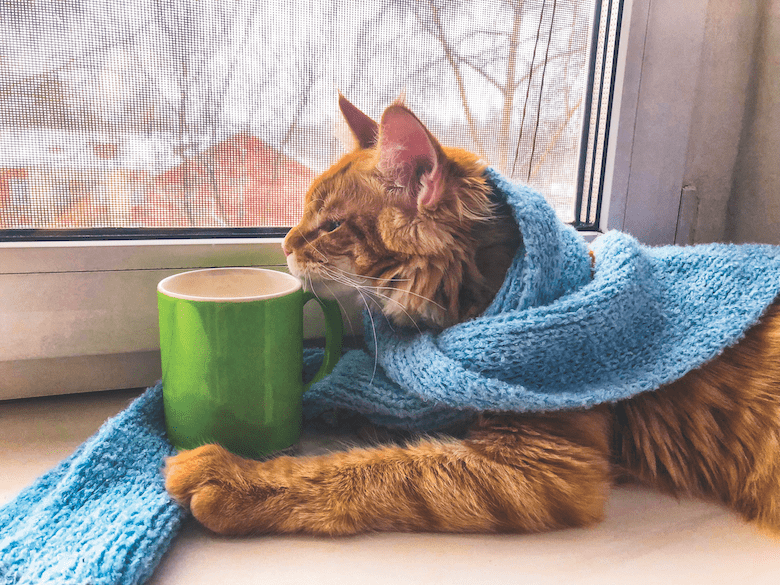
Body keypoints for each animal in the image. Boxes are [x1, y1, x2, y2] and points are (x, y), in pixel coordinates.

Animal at [165, 94, 780, 532]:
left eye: (331, 225)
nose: (285, 243)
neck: (482, 298)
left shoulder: (543, 463)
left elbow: (374, 469)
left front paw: (238, 477)